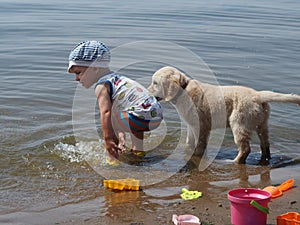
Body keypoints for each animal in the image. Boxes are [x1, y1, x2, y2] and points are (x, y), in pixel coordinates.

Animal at [148, 65, 300, 163]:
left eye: (155, 83)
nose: (148, 92)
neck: (184, 90)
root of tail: (258, 95)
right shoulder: (191, 125)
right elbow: (189, 143)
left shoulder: (201, 126)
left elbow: (200, 145)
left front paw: (196, 157)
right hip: (262, 124)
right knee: (265, 145)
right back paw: (264, 159)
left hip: (239, 122)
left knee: (245, 148)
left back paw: (233, 161)